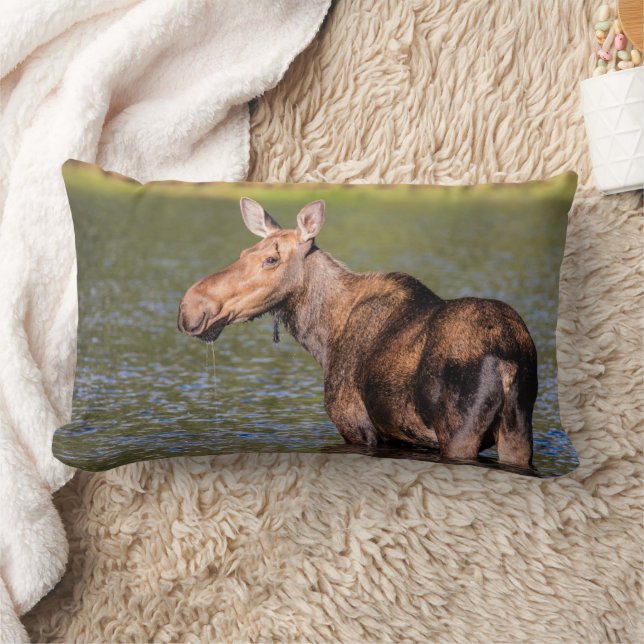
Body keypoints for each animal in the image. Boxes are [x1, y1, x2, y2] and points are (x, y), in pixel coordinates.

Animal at [177, 198, 538, 468]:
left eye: (270, 259)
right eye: (243, 253)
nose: (190, 307)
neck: (323, 338)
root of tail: (508, 361)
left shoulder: (356, 426)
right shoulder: (397, 436)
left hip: (459, 434)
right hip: (518, 431)